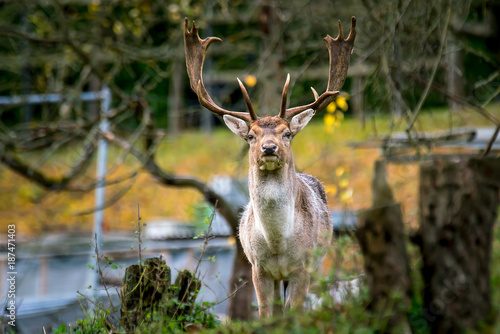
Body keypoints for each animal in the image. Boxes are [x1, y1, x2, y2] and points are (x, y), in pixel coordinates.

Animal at [185, 17, 356, 318]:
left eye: (287, 133)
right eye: (251, 136)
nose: (268, 148)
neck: (278, 244)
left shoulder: (303, 268)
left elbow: (294, 312)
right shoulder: (258, 268)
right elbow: (266, 315)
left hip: (318, 260)